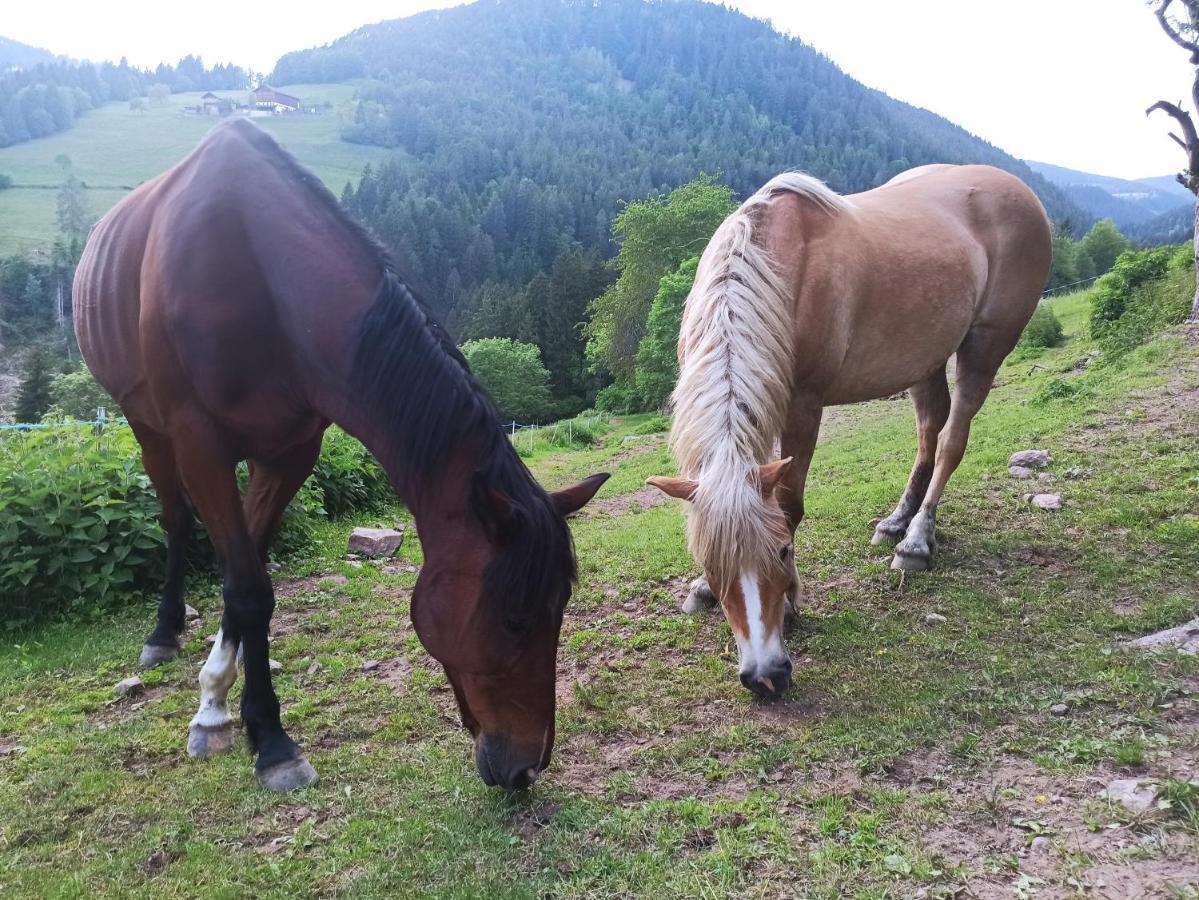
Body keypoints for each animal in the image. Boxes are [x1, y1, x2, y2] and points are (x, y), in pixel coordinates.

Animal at [72, 118, 609, 786]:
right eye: (515, 619)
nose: (525, 769)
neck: (258, 277)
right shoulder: (200, 443)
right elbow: (250, 589)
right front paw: (271, 742)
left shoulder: (291, 451)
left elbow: (246, 577)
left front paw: (218, 702)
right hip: (144, 424)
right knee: (174, 518)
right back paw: (163, 633)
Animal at [647, 165, 1050, 699]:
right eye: (711, 565)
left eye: (782, 551)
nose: (764, 676)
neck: (774, 269)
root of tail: (1016, 186)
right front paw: (703, 592)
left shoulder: (803, 406)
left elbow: (789, 507)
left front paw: (791, 603)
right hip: (923, 359)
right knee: (929, 429)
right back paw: (896, 521)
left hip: (984, 346)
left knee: (950, 441)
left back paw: (916, 541)